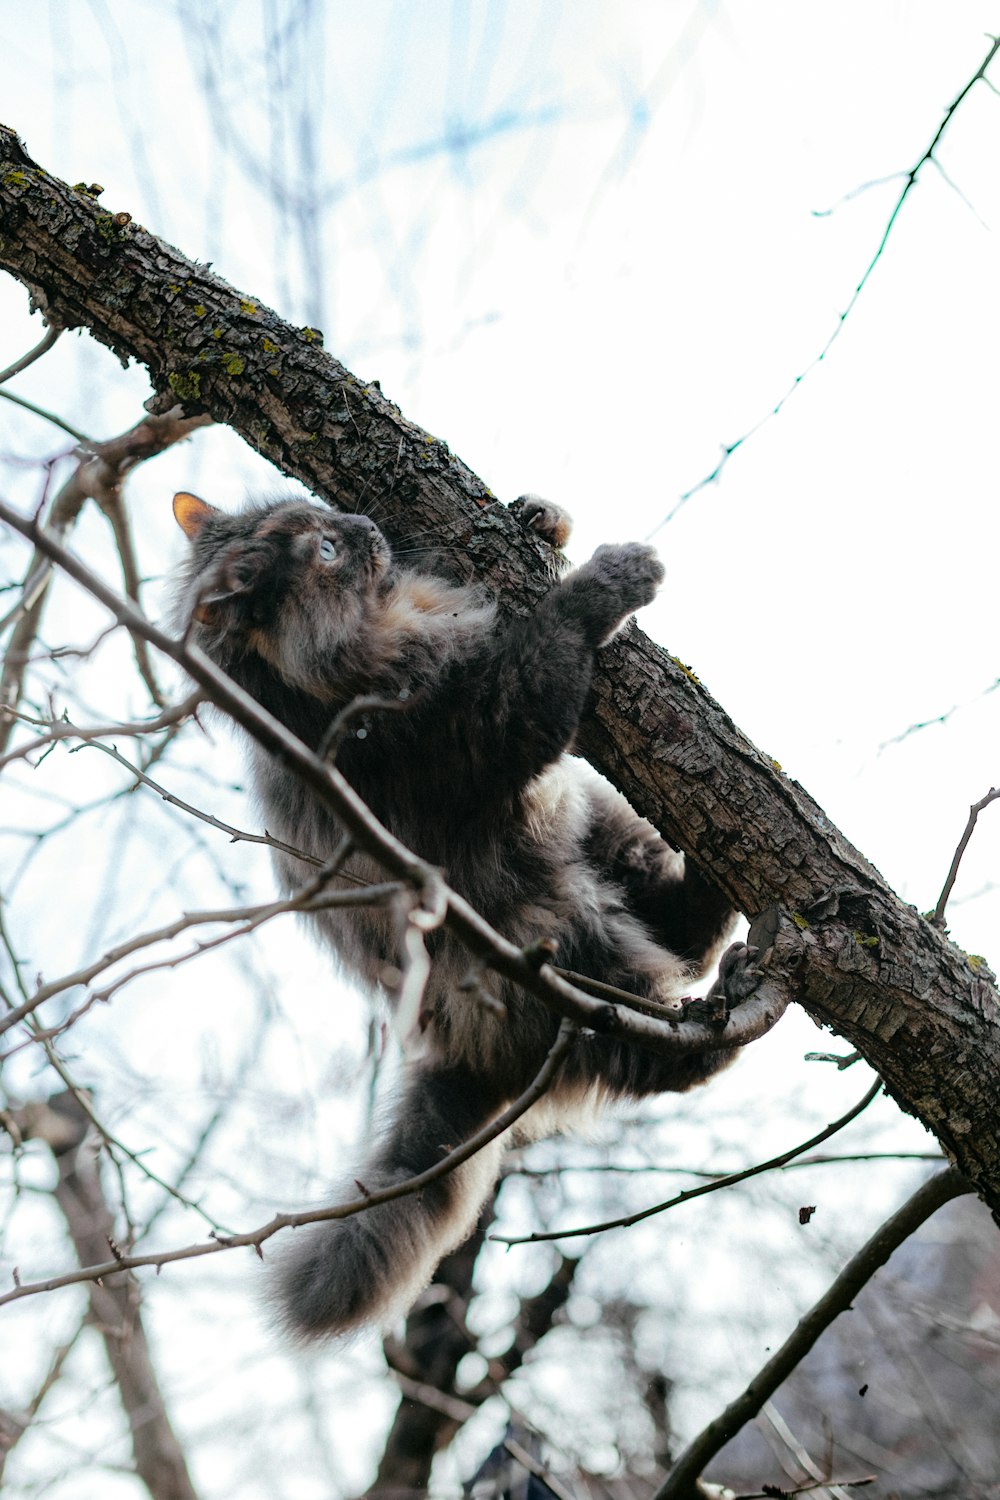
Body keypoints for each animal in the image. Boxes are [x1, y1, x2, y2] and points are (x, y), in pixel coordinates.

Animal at [173, 489, 743, 1338]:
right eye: (324, 553)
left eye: (323, 518)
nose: (361, 523)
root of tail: (458, 1053)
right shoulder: (469, 728)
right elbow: (550, 645)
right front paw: (605, 582)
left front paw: (539, 517)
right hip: (567, 951)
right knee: (653, 1049)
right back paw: (719, 1018)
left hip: (599, 823)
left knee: (680, 927)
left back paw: (713, 875)